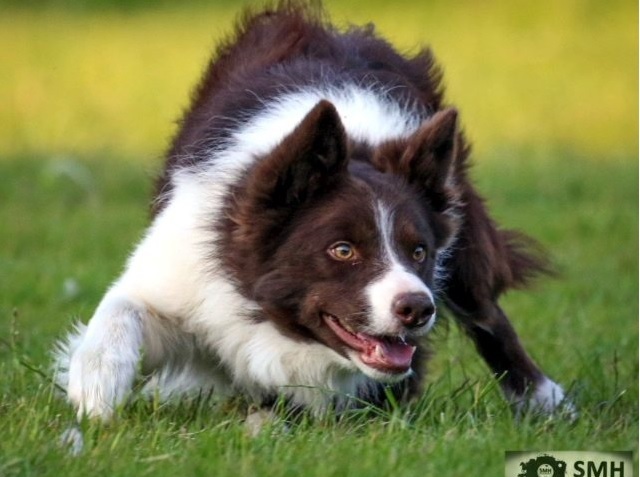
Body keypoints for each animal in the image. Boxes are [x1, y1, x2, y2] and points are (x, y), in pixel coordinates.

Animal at [55, 3, 572, 420]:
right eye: (342, 250)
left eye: (419, 251)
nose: (417, 309)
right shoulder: (185, 273)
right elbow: (122, 306)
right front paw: (95, 386)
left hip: (465, 238)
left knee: (486, 311)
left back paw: (543, 400)